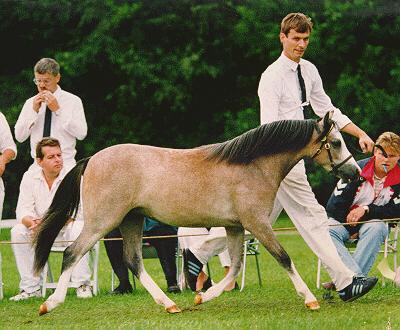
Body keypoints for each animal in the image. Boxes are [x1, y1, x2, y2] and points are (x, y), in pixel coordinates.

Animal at [33, 111, 360, 314]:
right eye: (336, 142)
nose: (354, 173)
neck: (252, 165)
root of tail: (92, 159)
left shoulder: (235, 227)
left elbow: (235, 269)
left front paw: (202, 296)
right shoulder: (257, 223)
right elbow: (283, 257)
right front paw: (310, 300)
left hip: (131, 221)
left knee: (133, 261)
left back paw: (169, 304)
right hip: (103, 222)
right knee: (72, 253)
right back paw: (49, 304)